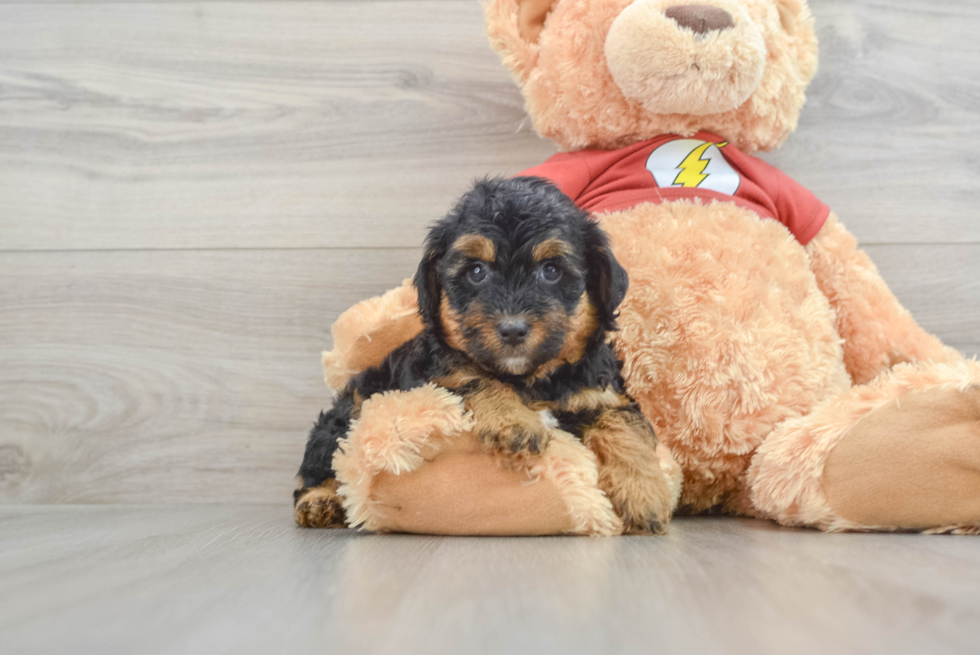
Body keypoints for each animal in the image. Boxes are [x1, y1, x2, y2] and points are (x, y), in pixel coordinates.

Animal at [292, 177, 672, 536]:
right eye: (476, 272)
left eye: (551, 271)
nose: (513, 329)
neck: (532, 377)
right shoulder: (434, 375)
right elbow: (475, 377)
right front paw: (514, 423)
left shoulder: (602, 393)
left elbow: (624, 425)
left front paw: (645, 494)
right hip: (346, 413)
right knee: (318, 468)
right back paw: (318, 502)